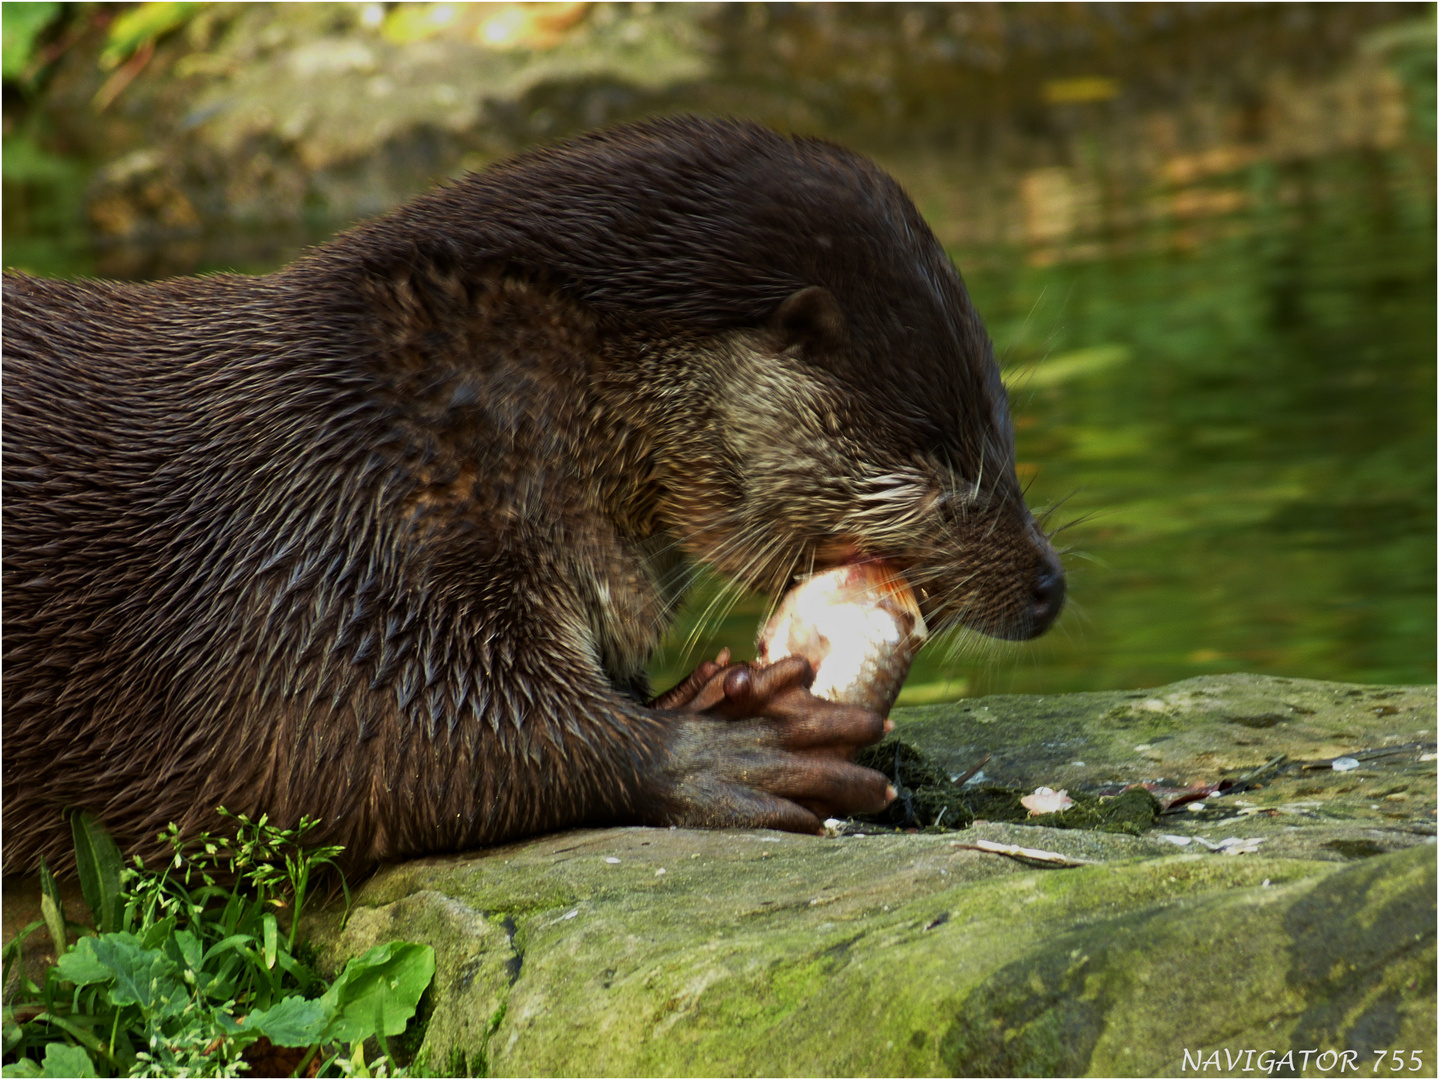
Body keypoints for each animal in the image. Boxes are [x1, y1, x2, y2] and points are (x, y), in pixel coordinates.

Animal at [5, 116, 1064, 880]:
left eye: (1000, 435)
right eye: (937, 467)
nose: (1048, 585)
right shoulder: (317, 538)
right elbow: (353, 737)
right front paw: (722, 748)